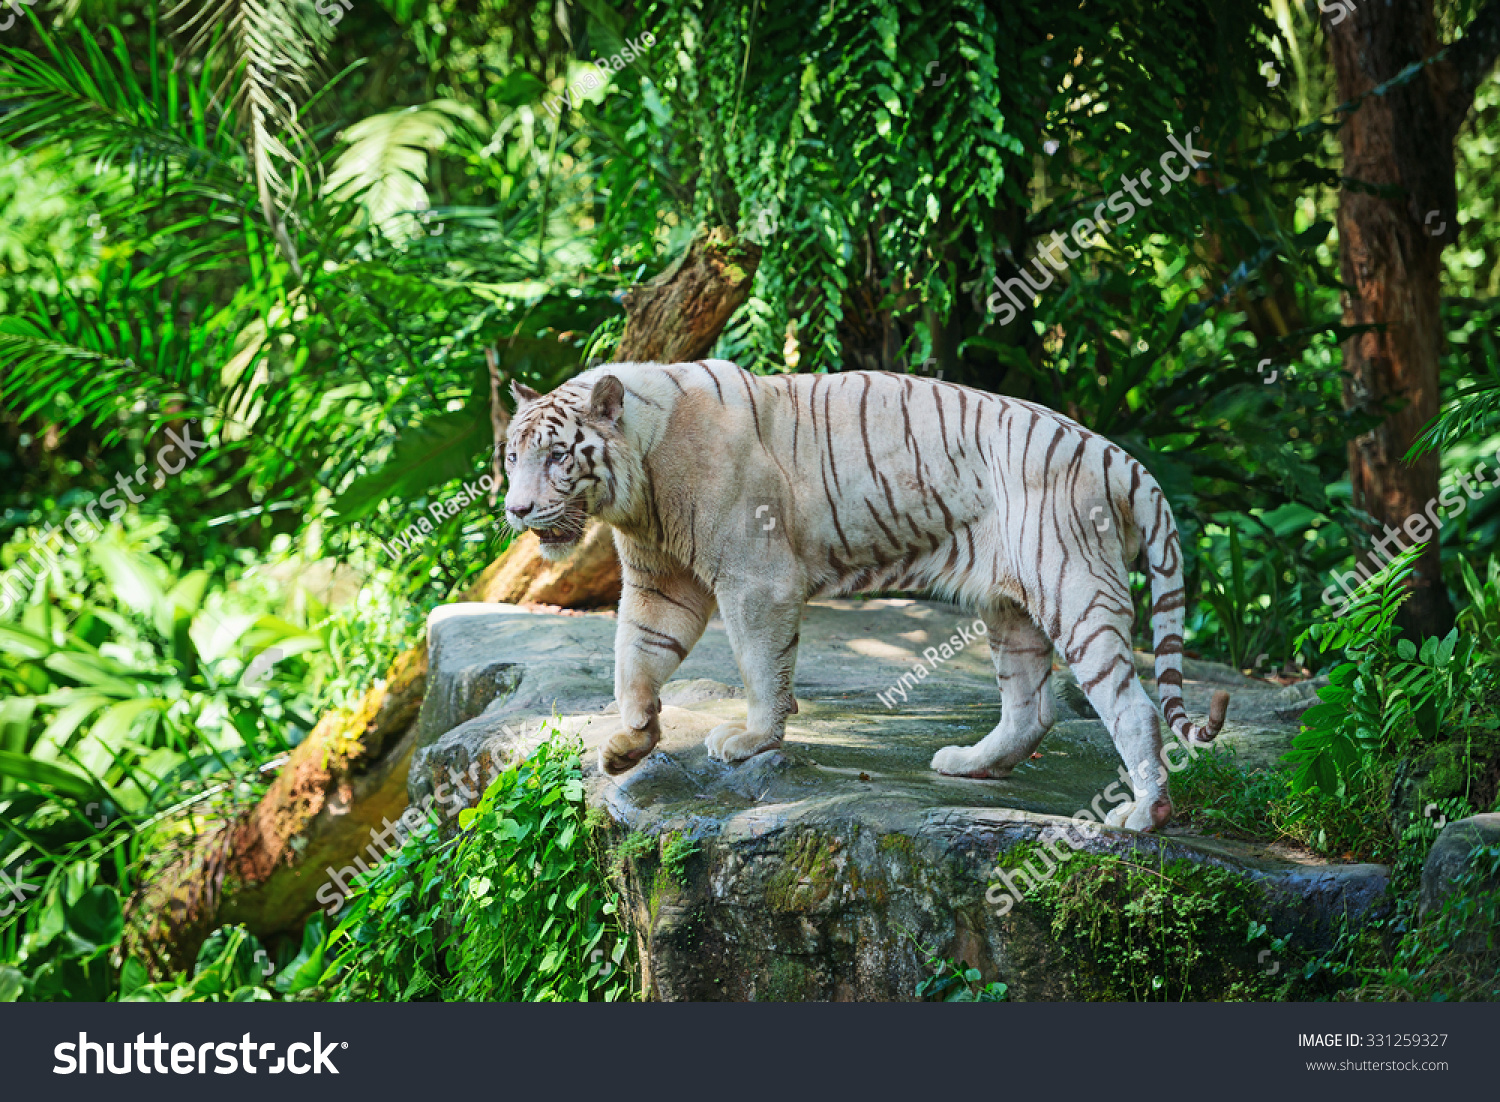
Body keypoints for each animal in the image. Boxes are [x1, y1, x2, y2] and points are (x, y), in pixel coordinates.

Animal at [504, 358, 1230, 833]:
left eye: (558, 456)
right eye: (511, 456)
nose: (515, 510)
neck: (641, 479)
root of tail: (1117, 455)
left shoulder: (756, 577)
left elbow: (759, 665)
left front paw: (753, 739)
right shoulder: (662, 583)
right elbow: (637, 653)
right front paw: (629, 742)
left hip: (1071, 583)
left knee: (1132, 706)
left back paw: (1144, 813)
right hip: (1009, 603)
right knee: (1032, 708)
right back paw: (970, 764)